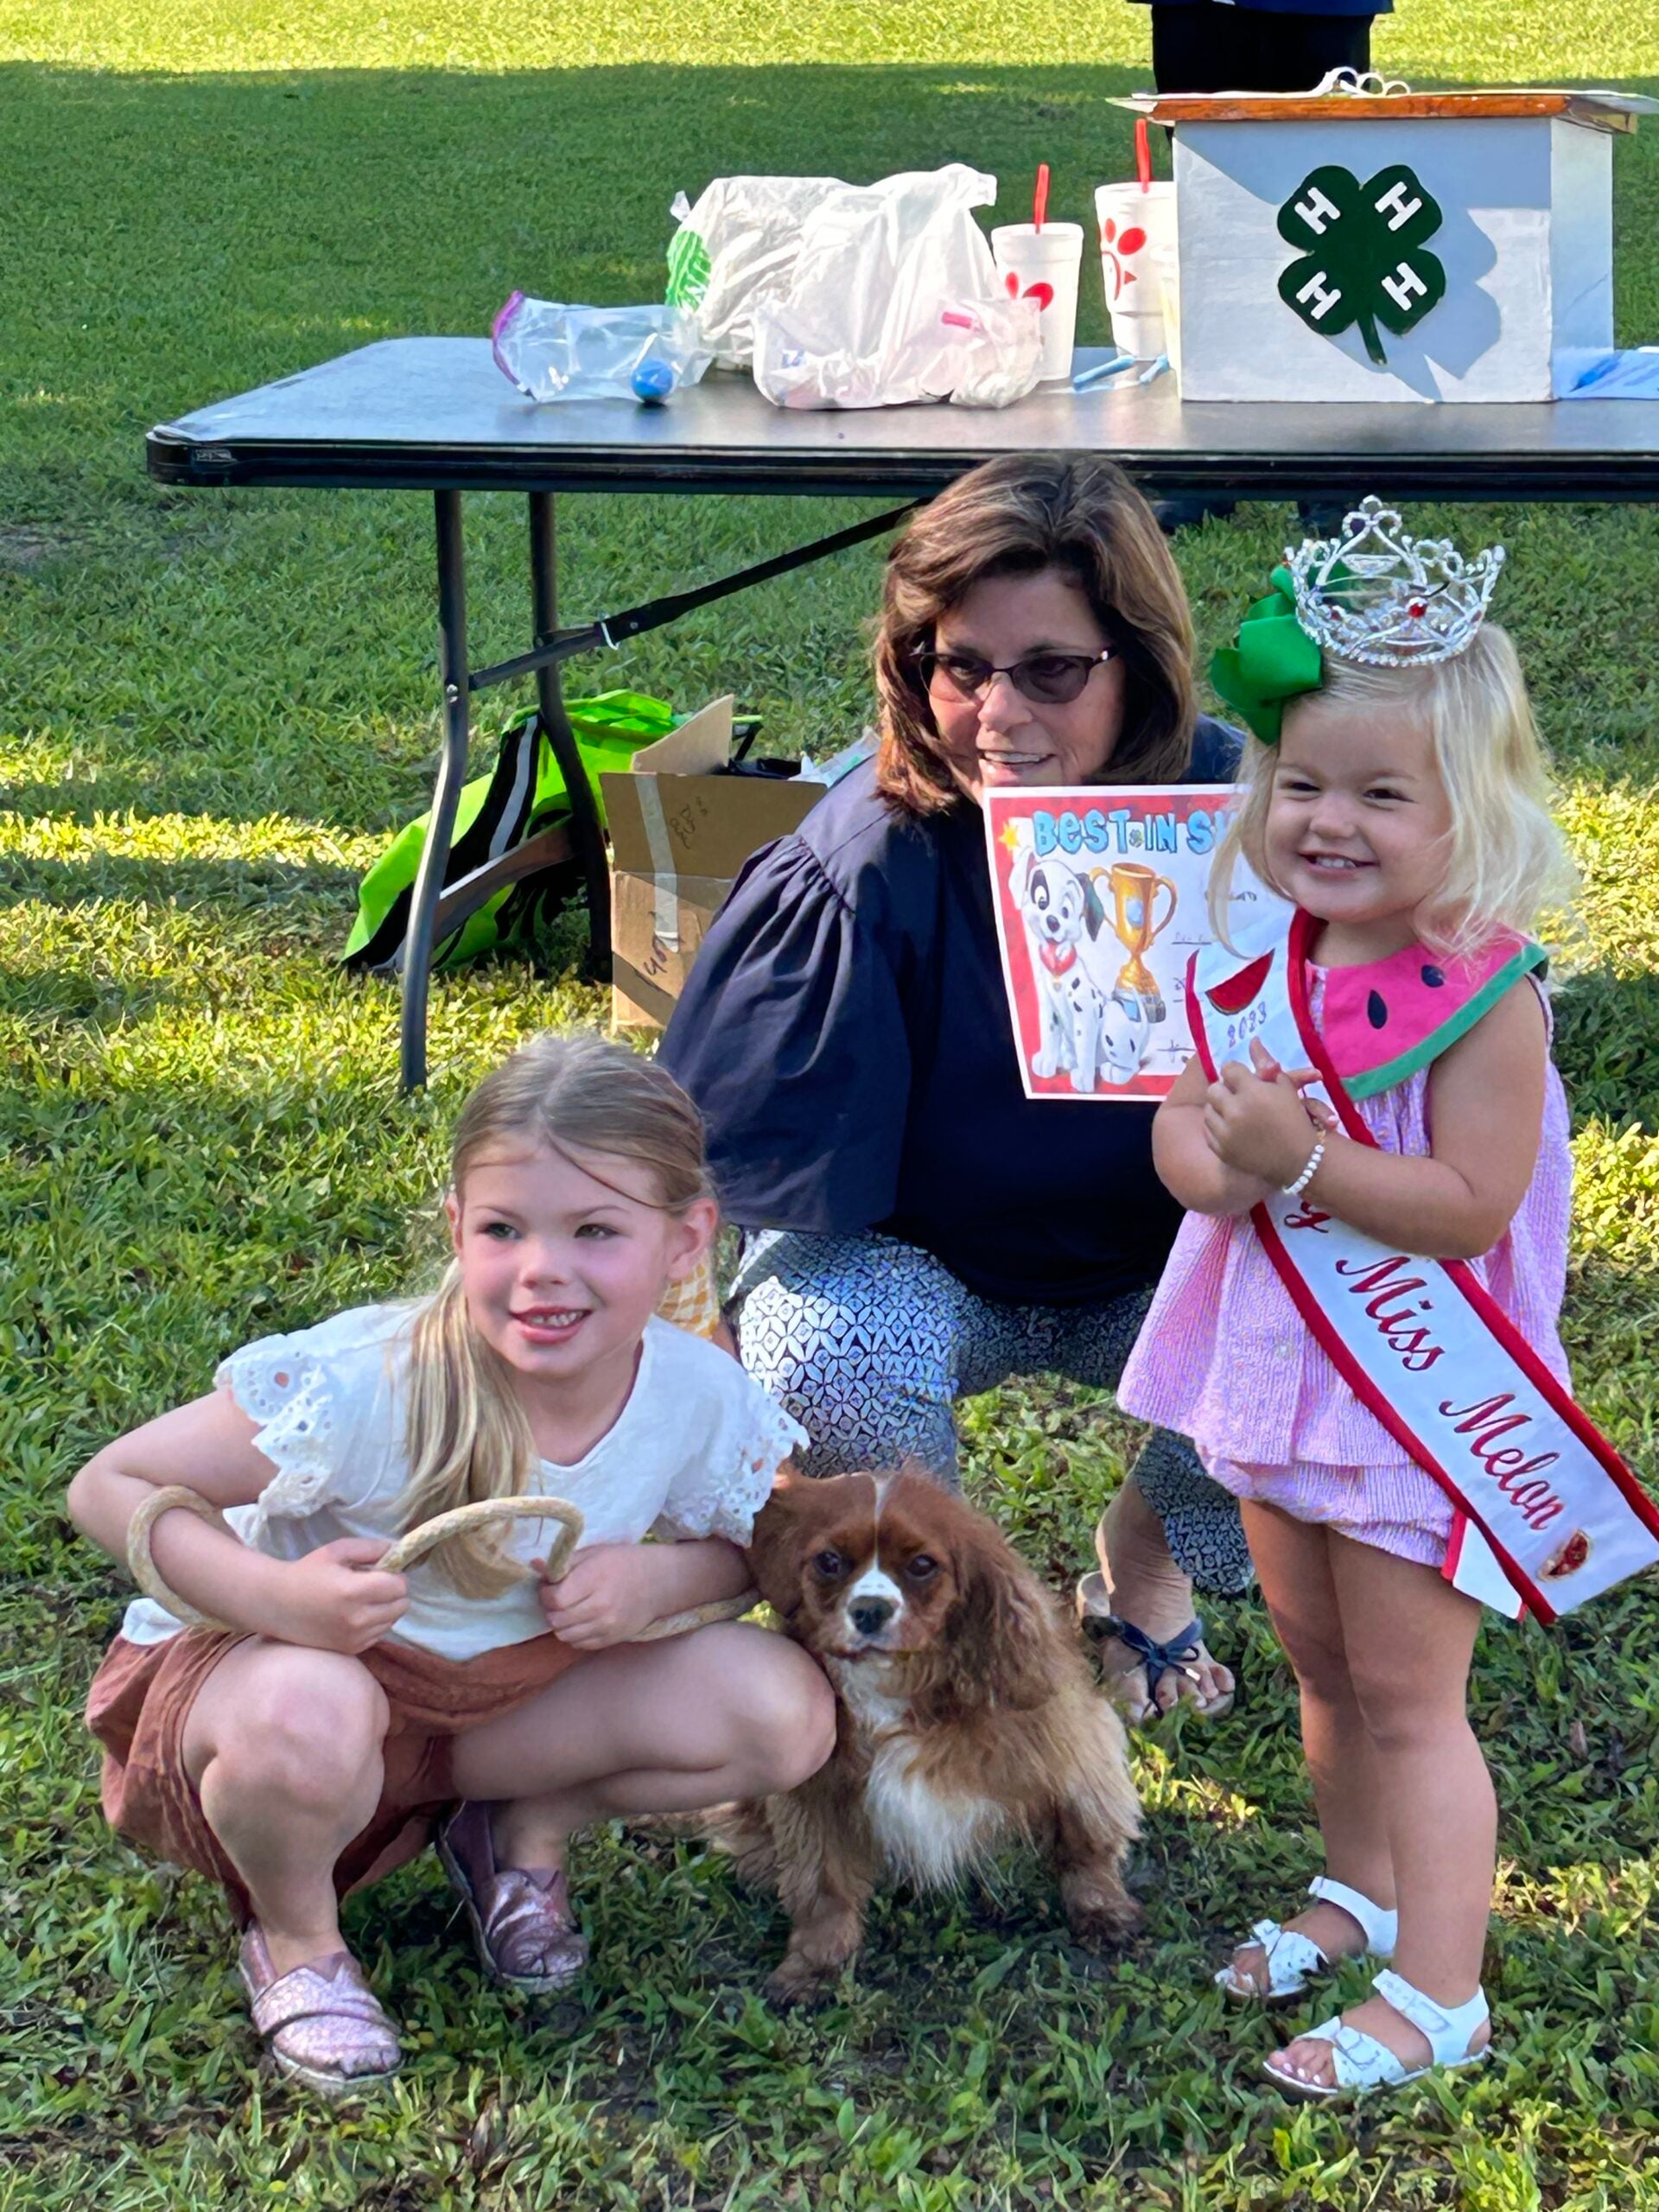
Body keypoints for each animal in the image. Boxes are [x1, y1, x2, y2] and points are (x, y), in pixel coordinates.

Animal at [716, 1468, 1141, 2008]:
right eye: (829, 1561)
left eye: (922, 1565)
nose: (870, 1610)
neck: (895, 1689)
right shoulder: (814, 1797)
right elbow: (822, 1888)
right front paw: (813, 1966)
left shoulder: (1072, 1745)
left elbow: (1085, 1840)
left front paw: (1101, 1908)